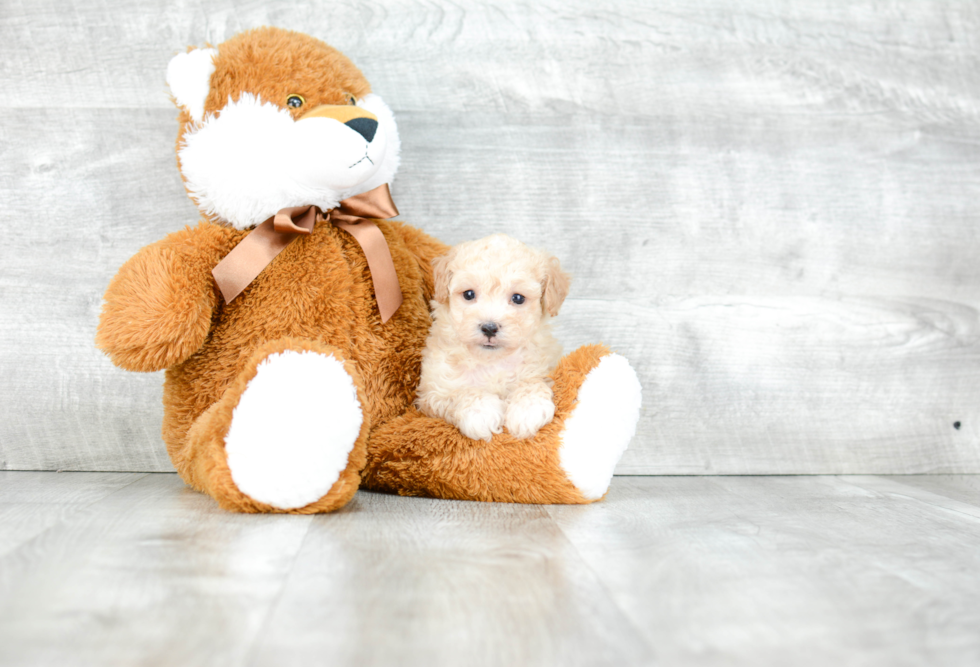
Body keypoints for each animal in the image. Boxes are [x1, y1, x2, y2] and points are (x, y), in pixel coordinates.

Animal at [416, 236, 572, 444]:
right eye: (469, 294)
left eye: (518, 298)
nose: (489, 328)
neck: (492, 361)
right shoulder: (432, 391)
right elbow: (461, 392)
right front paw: (480, 412)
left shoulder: (542, 366)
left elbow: (531, 382)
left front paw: (528, 409)